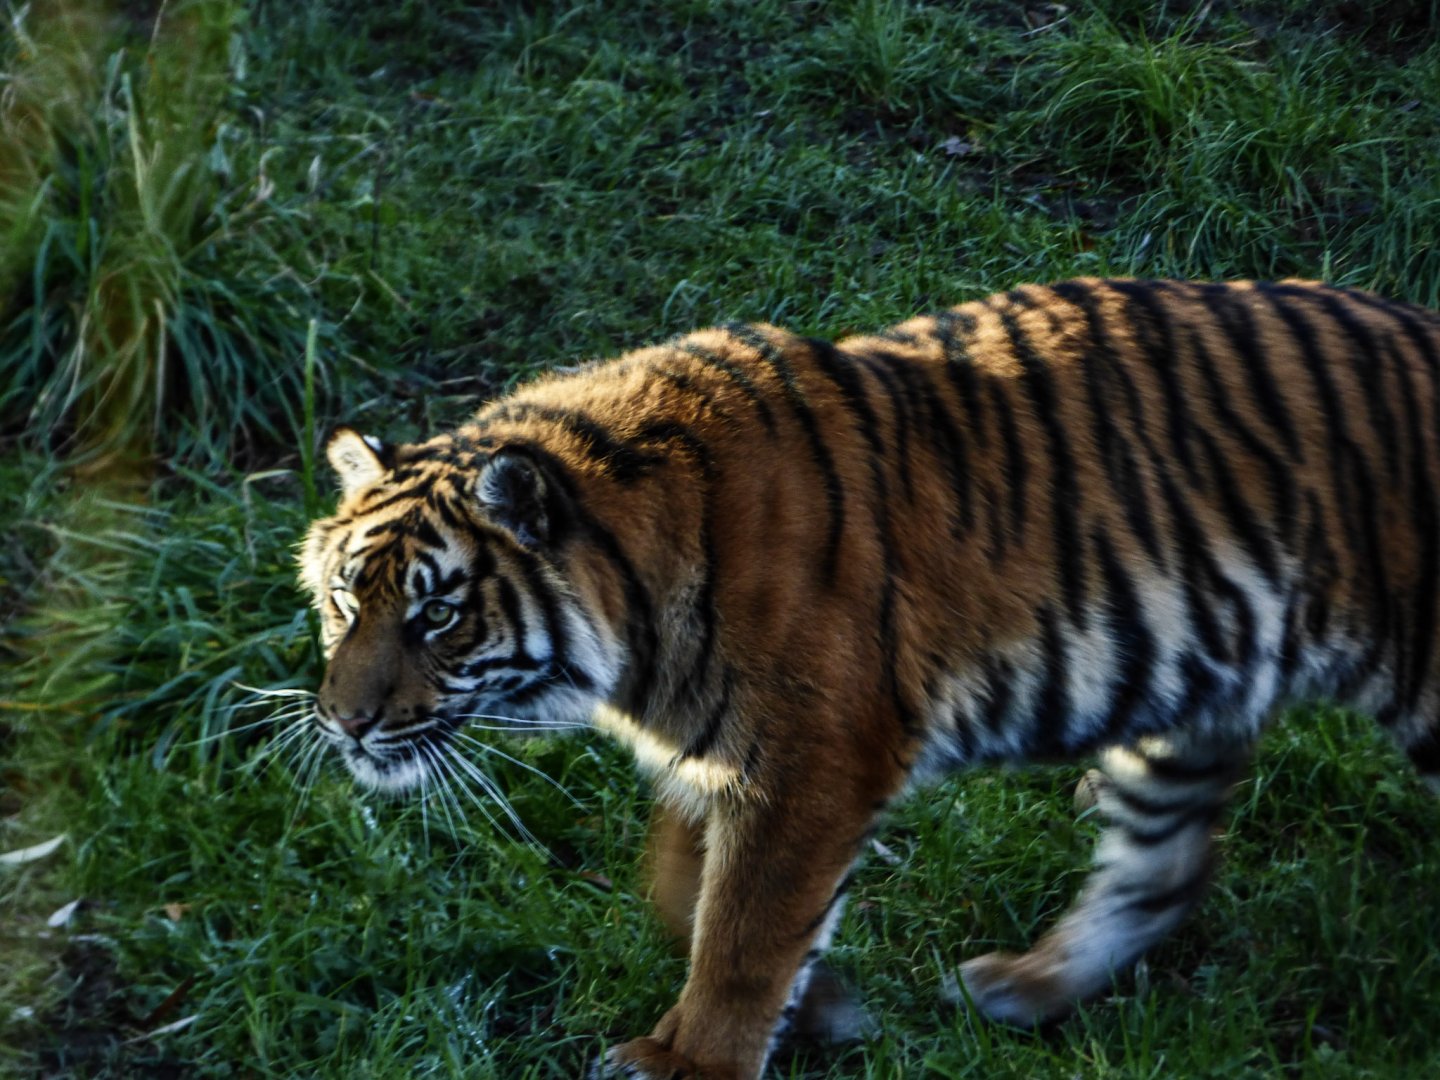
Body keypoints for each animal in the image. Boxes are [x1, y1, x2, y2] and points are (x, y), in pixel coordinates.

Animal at [298, 278, 1440, 1080]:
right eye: (346, 600)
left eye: (437, 615)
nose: (343, 723)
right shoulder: (714, 758)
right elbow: (681, 889)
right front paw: (826, 1008)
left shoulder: (813, 760)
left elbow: (745, 928)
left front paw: (692, 1062)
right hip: (1190, 698)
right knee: (1164, 868)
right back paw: (1022, 987)